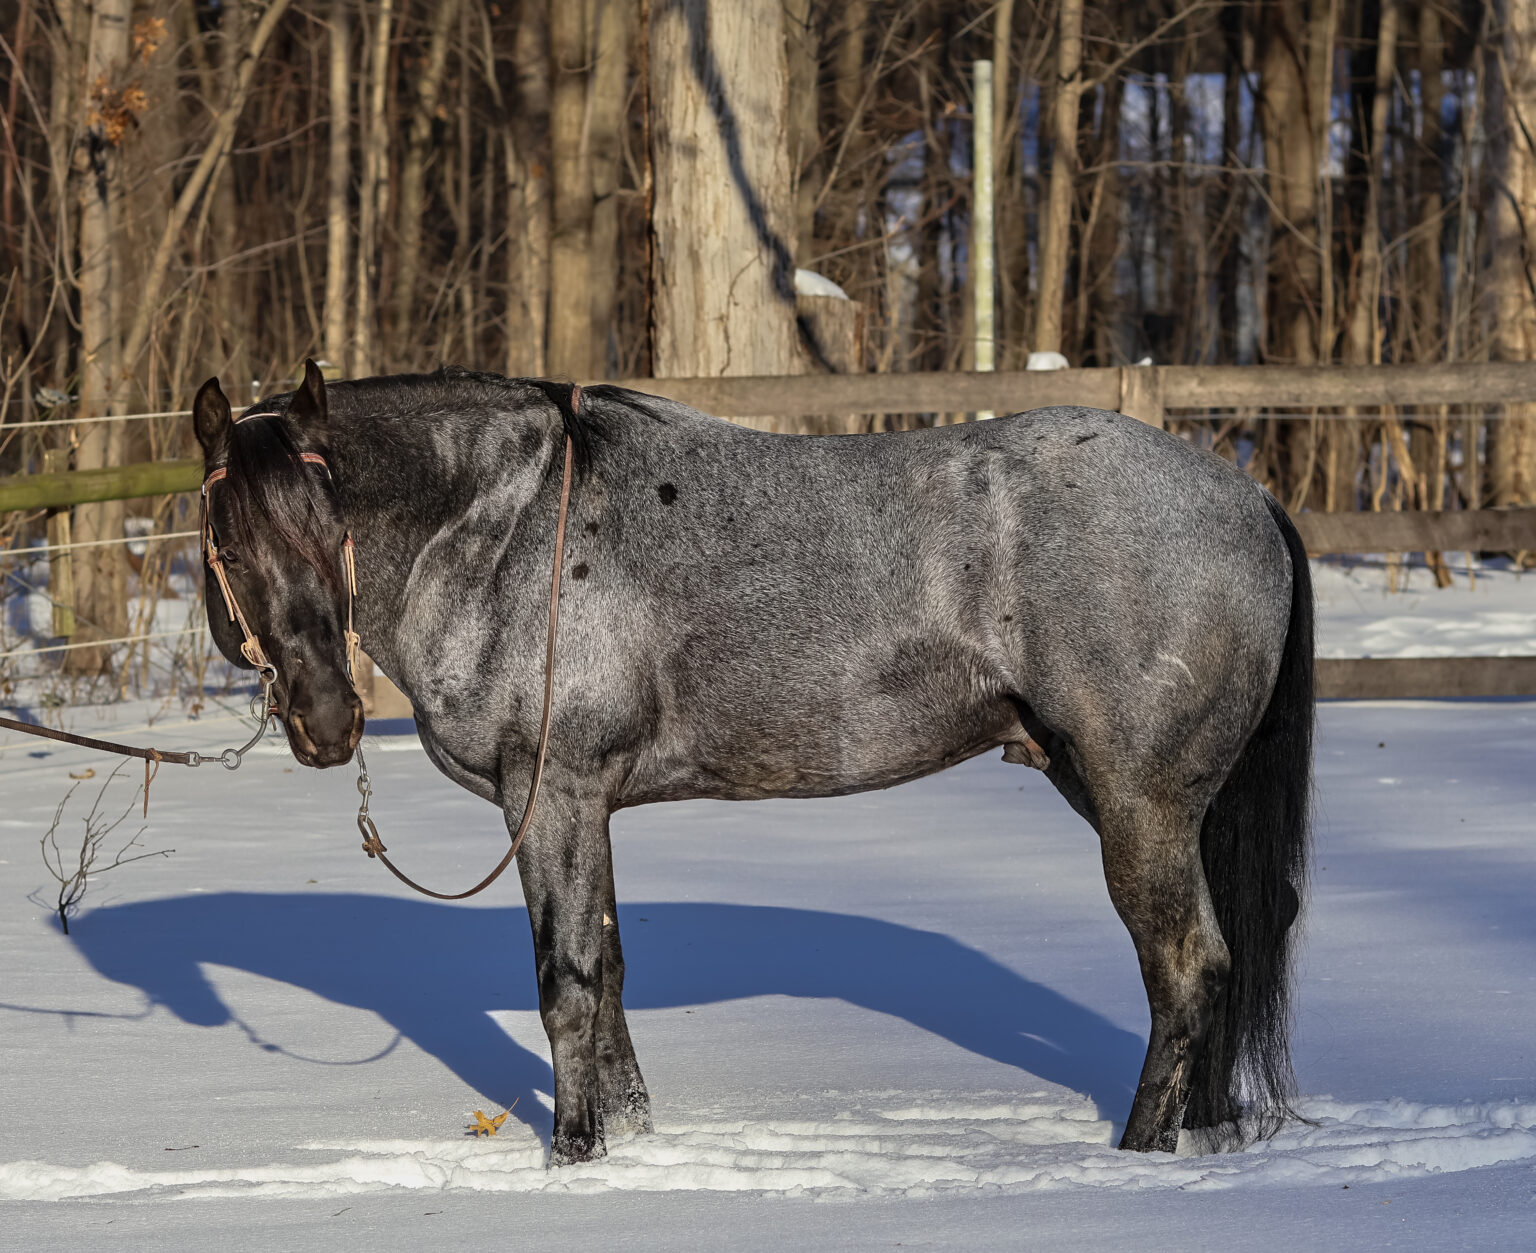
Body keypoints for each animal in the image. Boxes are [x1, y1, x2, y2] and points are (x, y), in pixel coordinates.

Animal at [192, 359, 1312, 1166]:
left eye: (328, 530)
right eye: (229, 543)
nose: (327, 720)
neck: (505, 529)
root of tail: (1247, 496)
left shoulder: (550, 797)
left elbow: (569, 981)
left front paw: (575, 1156)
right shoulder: (586, 807)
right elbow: (609, 975)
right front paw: (634, 1144)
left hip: (1138, 800)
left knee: (1187, 966)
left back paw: (1139, 1152)